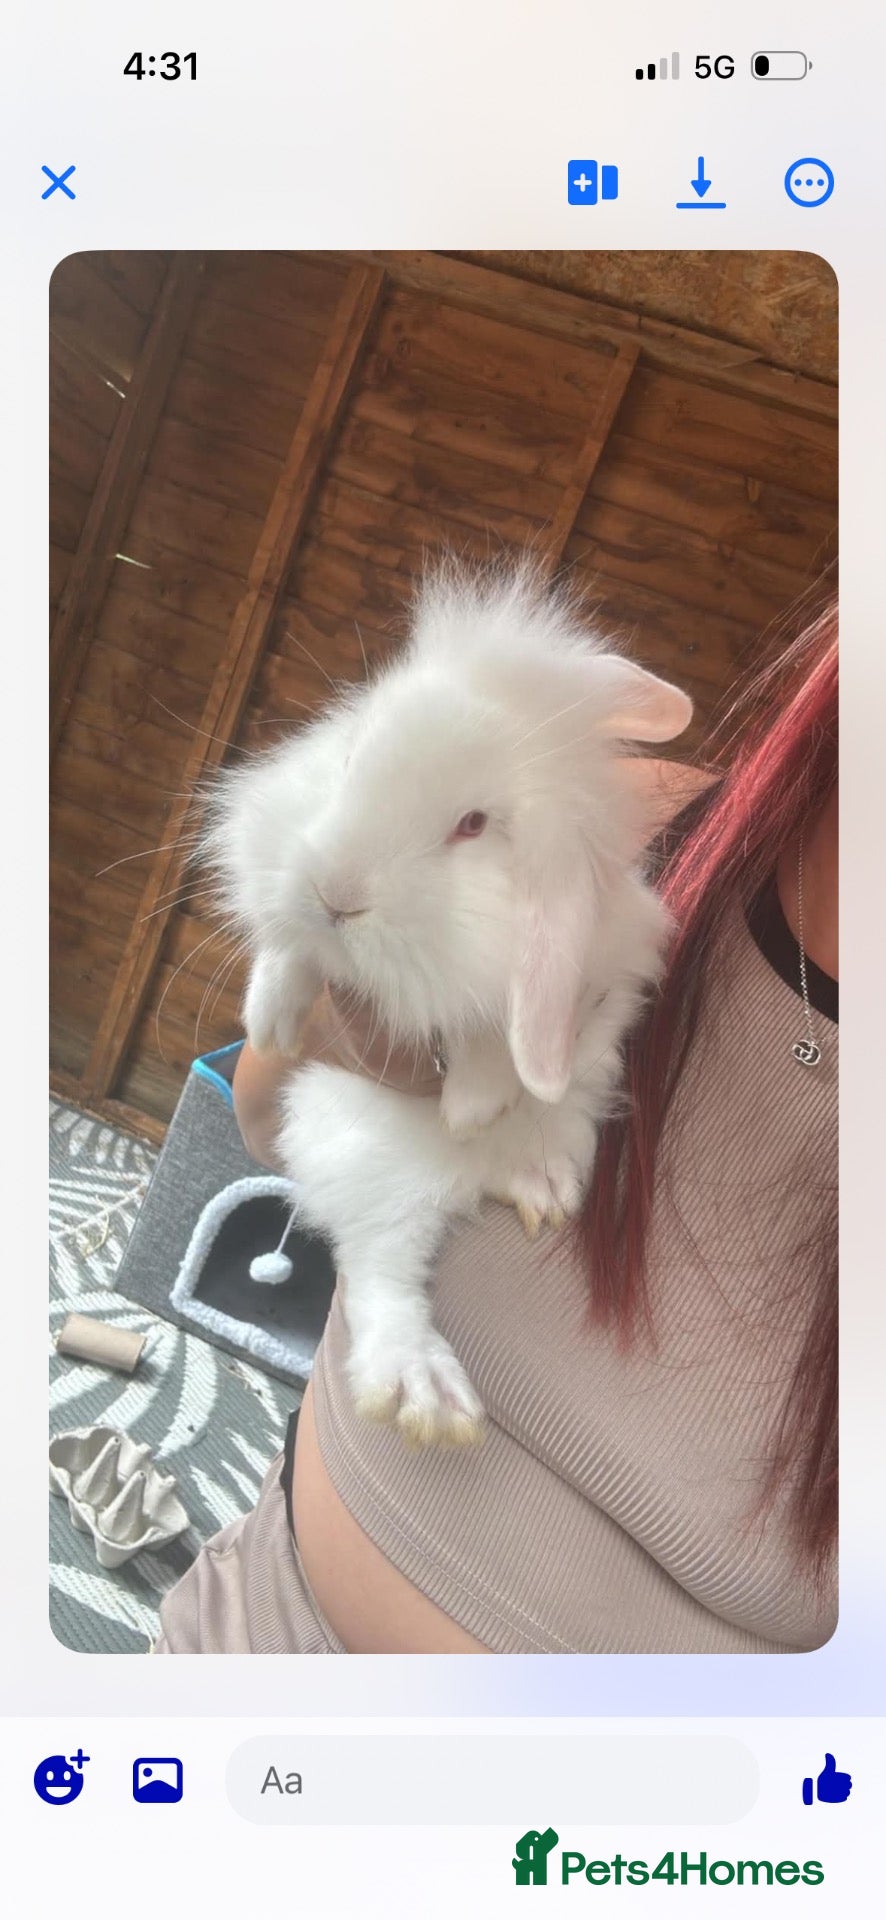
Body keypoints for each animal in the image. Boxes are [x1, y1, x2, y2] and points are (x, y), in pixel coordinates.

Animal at [203, 561, 693, 1448]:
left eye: (472, 824)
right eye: (350, 753)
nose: (336, 895)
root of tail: (473, 1181)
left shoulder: (600, 969)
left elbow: (512, 1037)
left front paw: (474, 1099)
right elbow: (289, 953)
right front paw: (273, 1019)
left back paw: (533, 1186)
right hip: (358, 1148)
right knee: (382, 1275)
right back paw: (423, 1387)